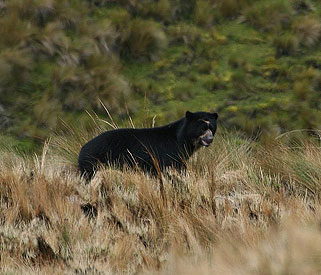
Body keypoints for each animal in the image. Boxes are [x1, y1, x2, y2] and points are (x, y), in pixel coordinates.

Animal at [78, 111, 218, 180]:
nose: (210, 139)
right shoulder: (170, 154)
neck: (183, 140)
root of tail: (82, 150)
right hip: (94, 162)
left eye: (212, 128)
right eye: (202, 128)